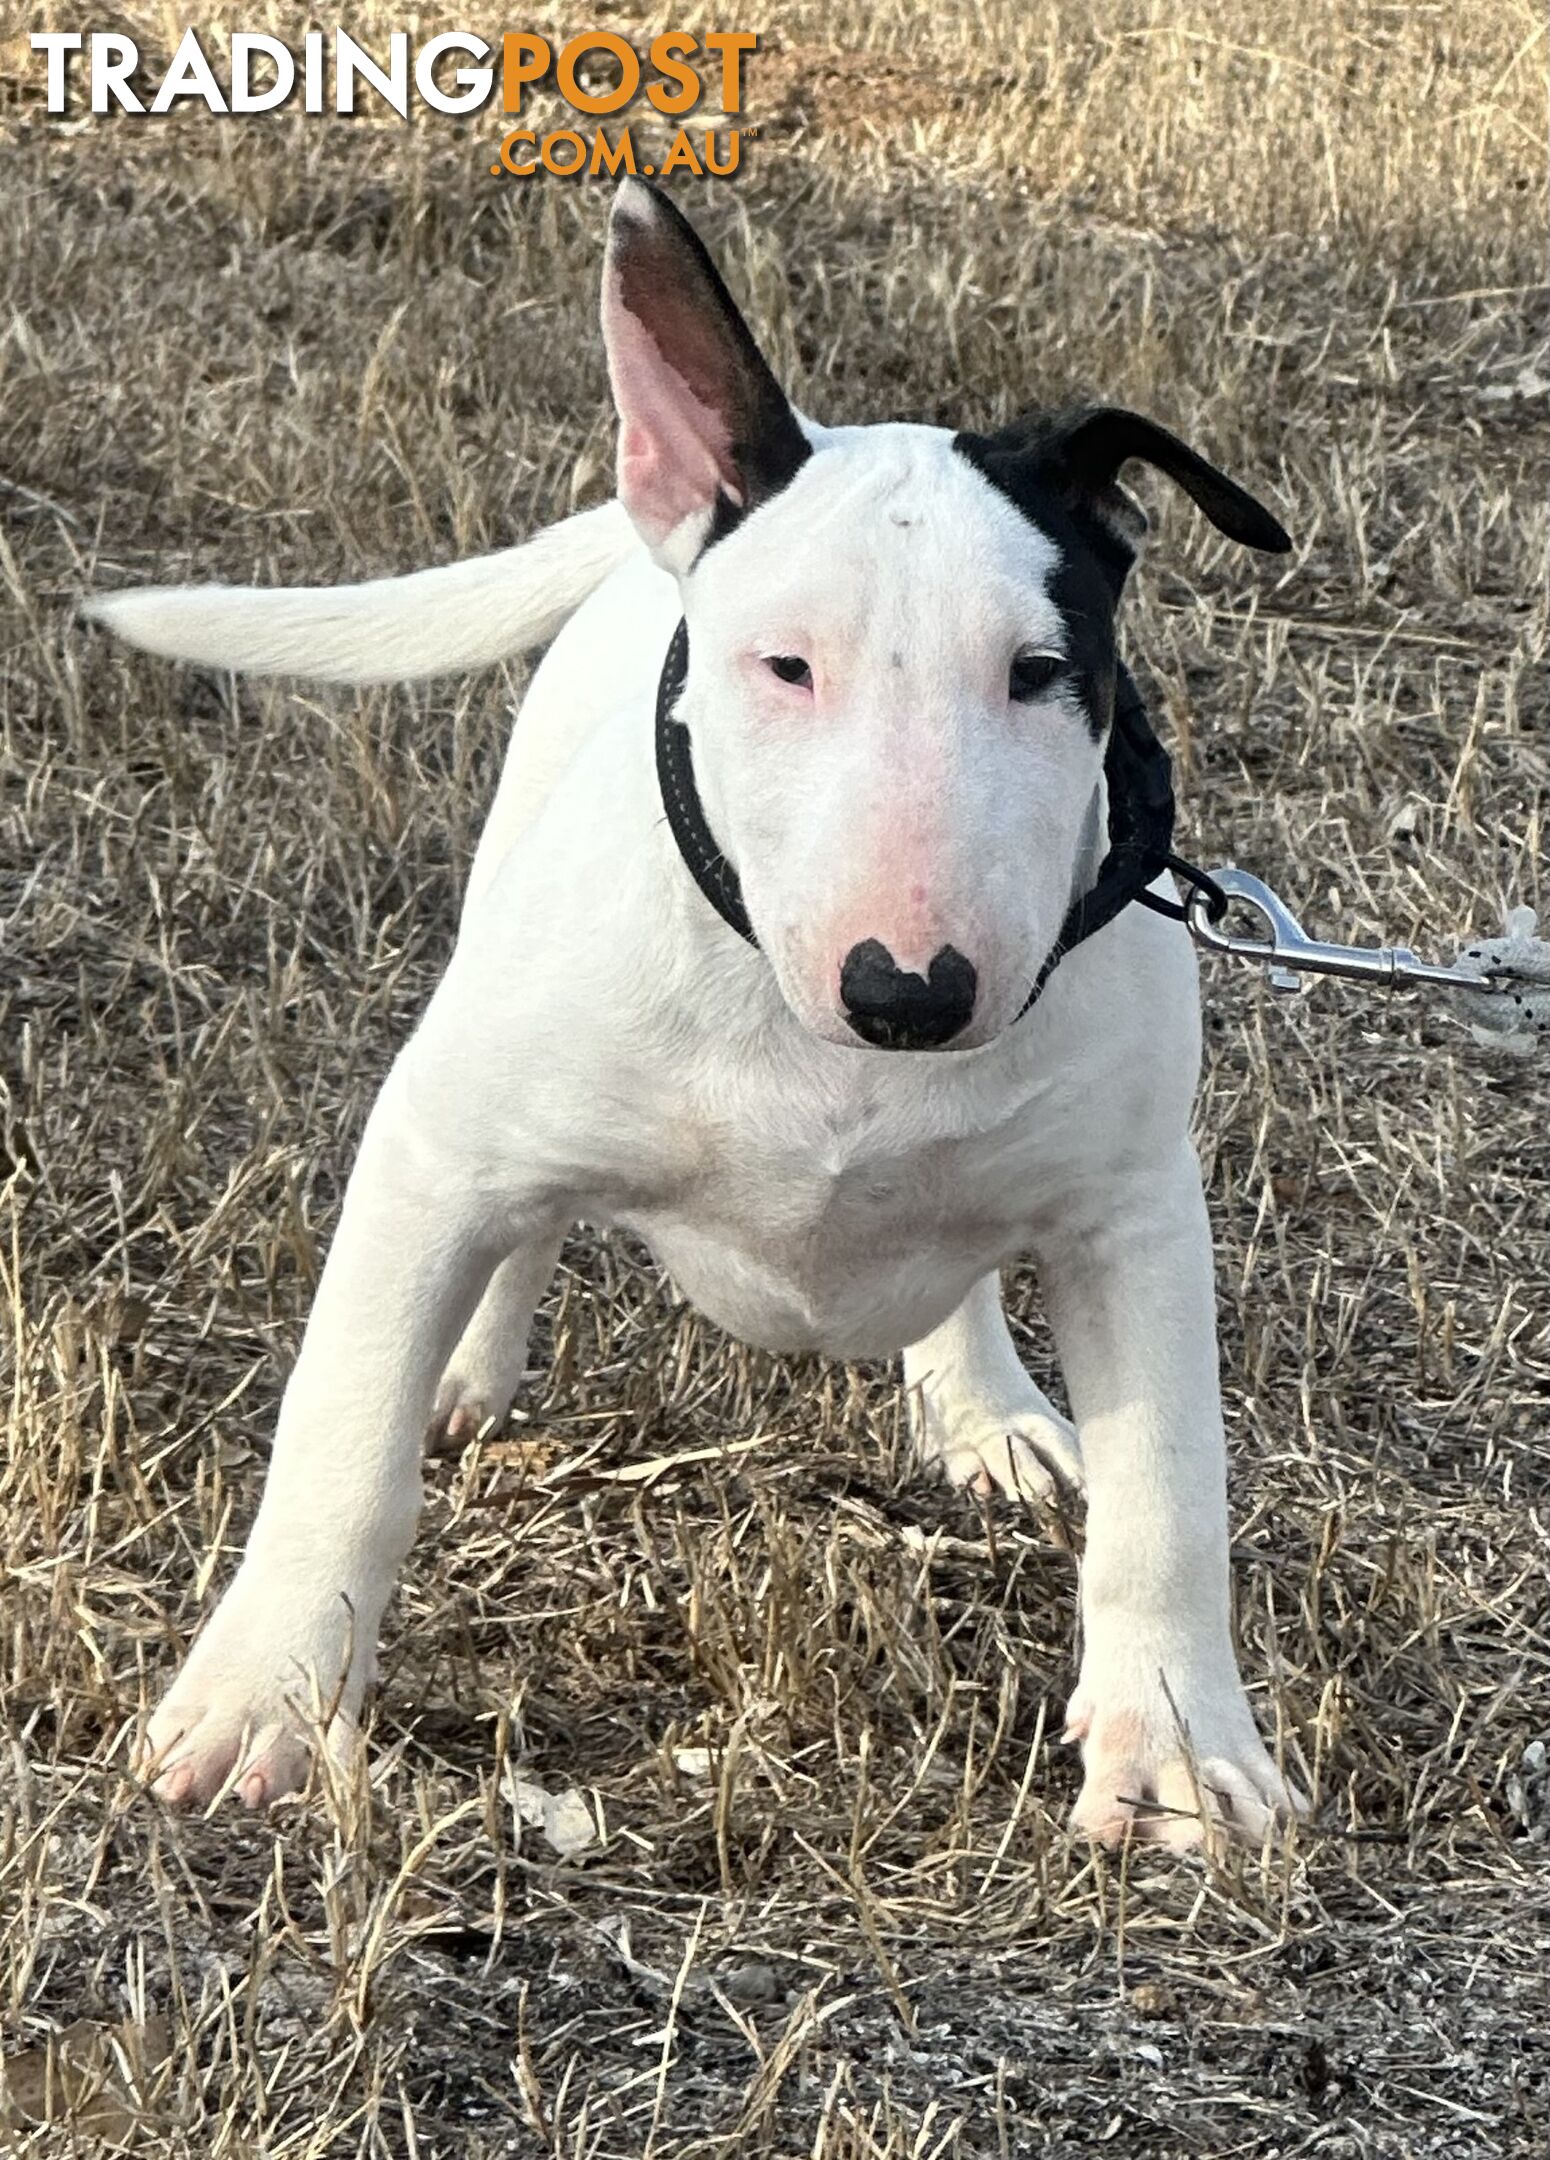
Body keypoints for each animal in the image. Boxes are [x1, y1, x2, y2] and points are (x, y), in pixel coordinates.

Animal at [91, 177, 1312, 1848]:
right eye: (782, 664)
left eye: (1042, 670)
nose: (911, 991)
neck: (823, 1046)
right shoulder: (433, 1143)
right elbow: (339, 1438)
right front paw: (261, 1699)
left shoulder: (1132, 1214)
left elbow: (1169, 1494)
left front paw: (1182, 1747)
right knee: (513, 1230)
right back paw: (464, 1369)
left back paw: (978, 1404)